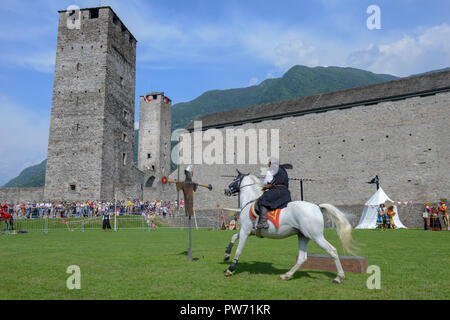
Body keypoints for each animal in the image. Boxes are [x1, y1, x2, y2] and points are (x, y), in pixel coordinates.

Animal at [223, 171, 356, 284]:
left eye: (234, 179)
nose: (226, 190)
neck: (249, 202)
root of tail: (317, 206)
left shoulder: (245, 231)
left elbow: (239, 249)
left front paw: (230, 269)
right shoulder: (247, 231)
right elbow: (233, 236)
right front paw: (226, 255)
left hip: (316, 237)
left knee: (332, 251)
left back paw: (339, 277)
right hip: (303, 236)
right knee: (302, 258)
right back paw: (286, 275)